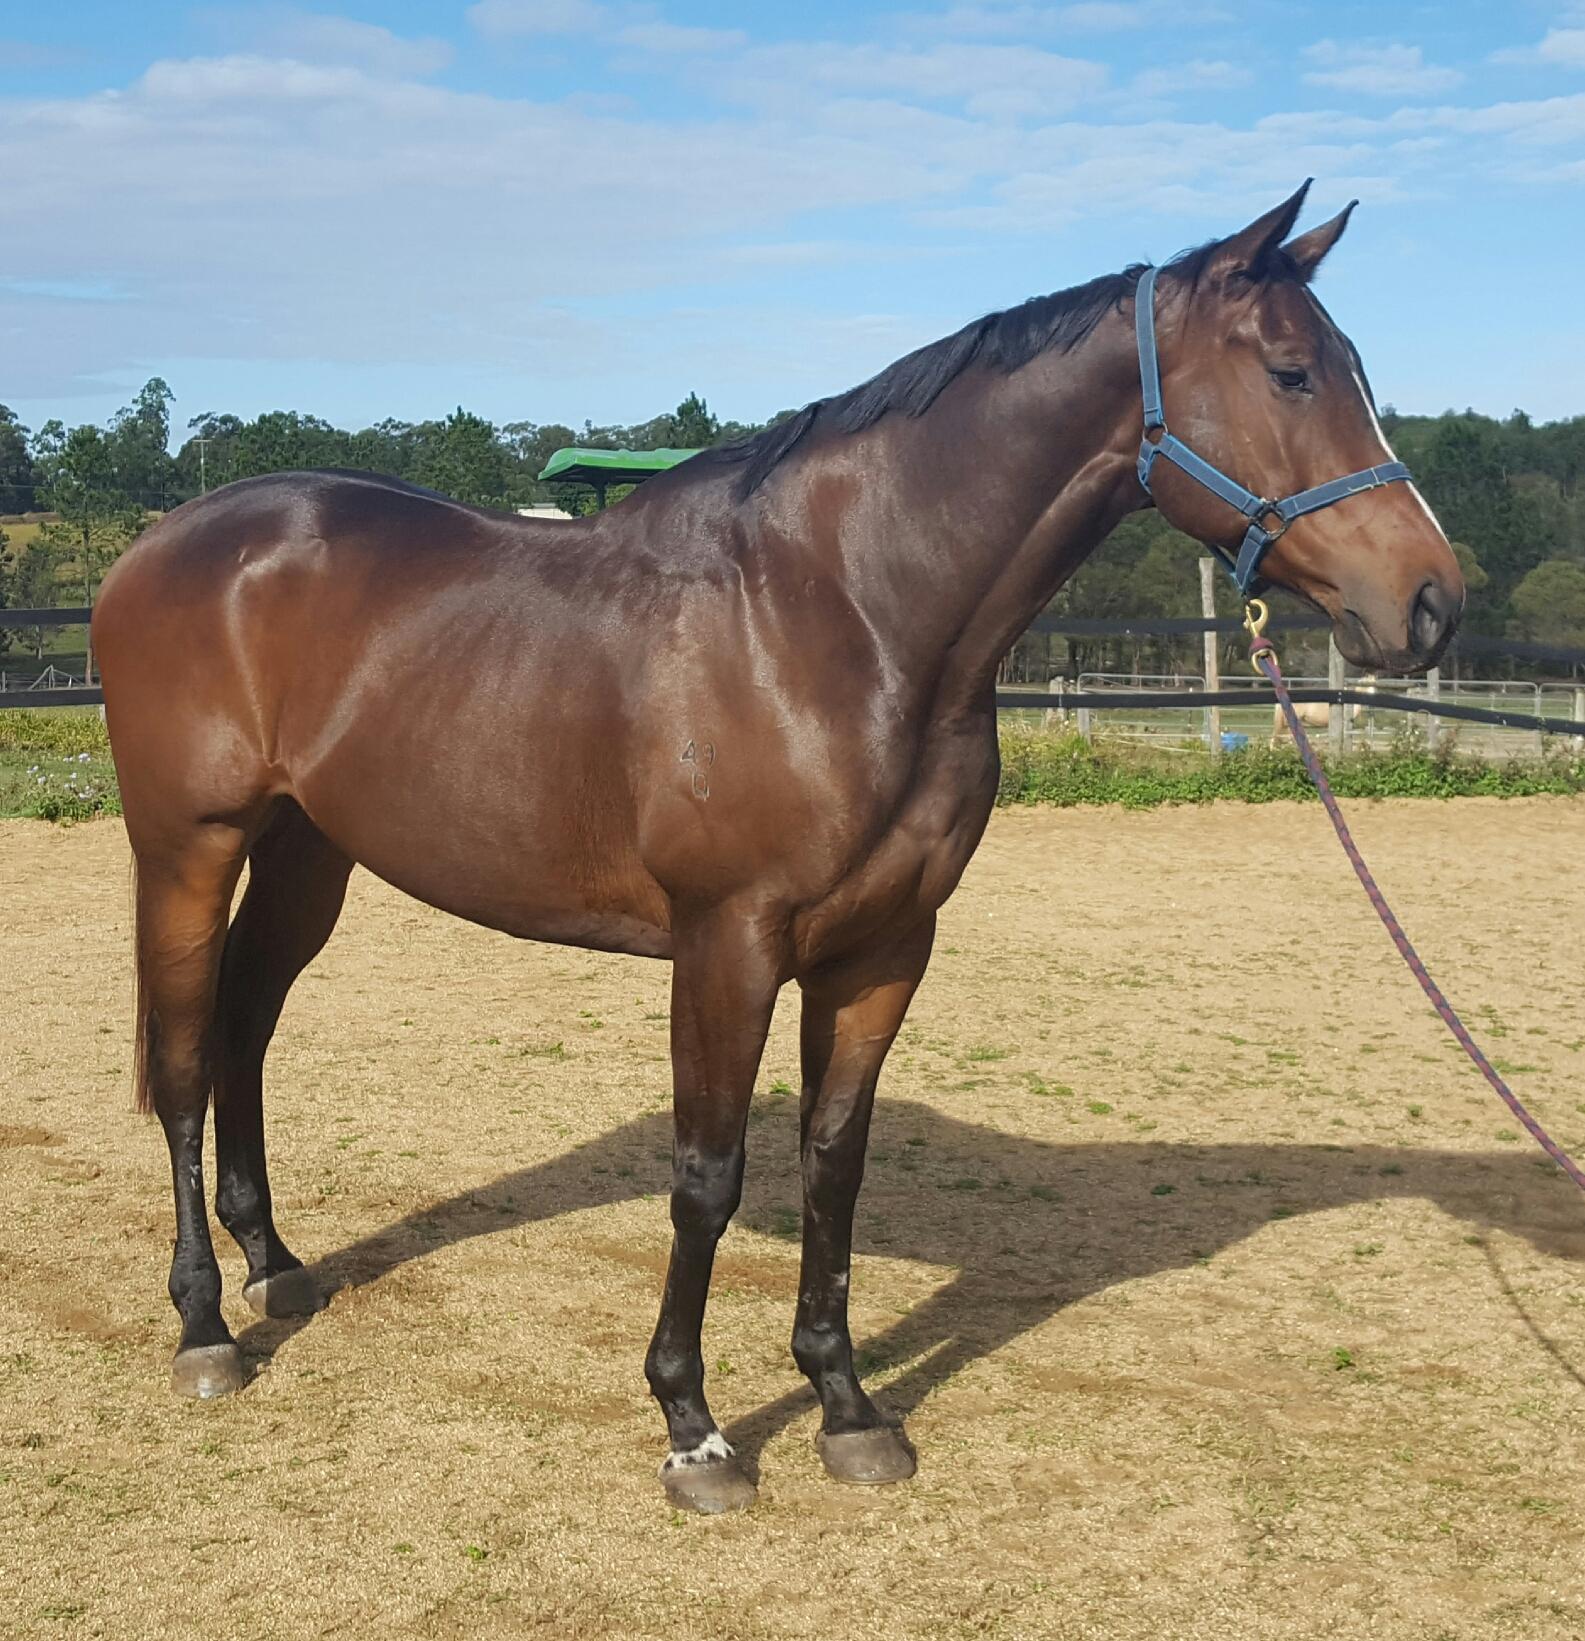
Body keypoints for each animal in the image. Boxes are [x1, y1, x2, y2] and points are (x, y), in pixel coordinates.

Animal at [93, 182, 1462, 1514]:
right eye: (1291, 372)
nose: (1431, 601)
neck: (838, 617)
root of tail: (165, 543)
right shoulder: (729, 945)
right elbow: (708, 1176)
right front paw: (693, 1430)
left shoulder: (883, 949)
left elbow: (833, 1163)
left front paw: (847, 1407)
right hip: (187, 849)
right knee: (183, 1059)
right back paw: (206, 1327)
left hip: (308, 854)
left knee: (245, 1029)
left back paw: (275, 1265)